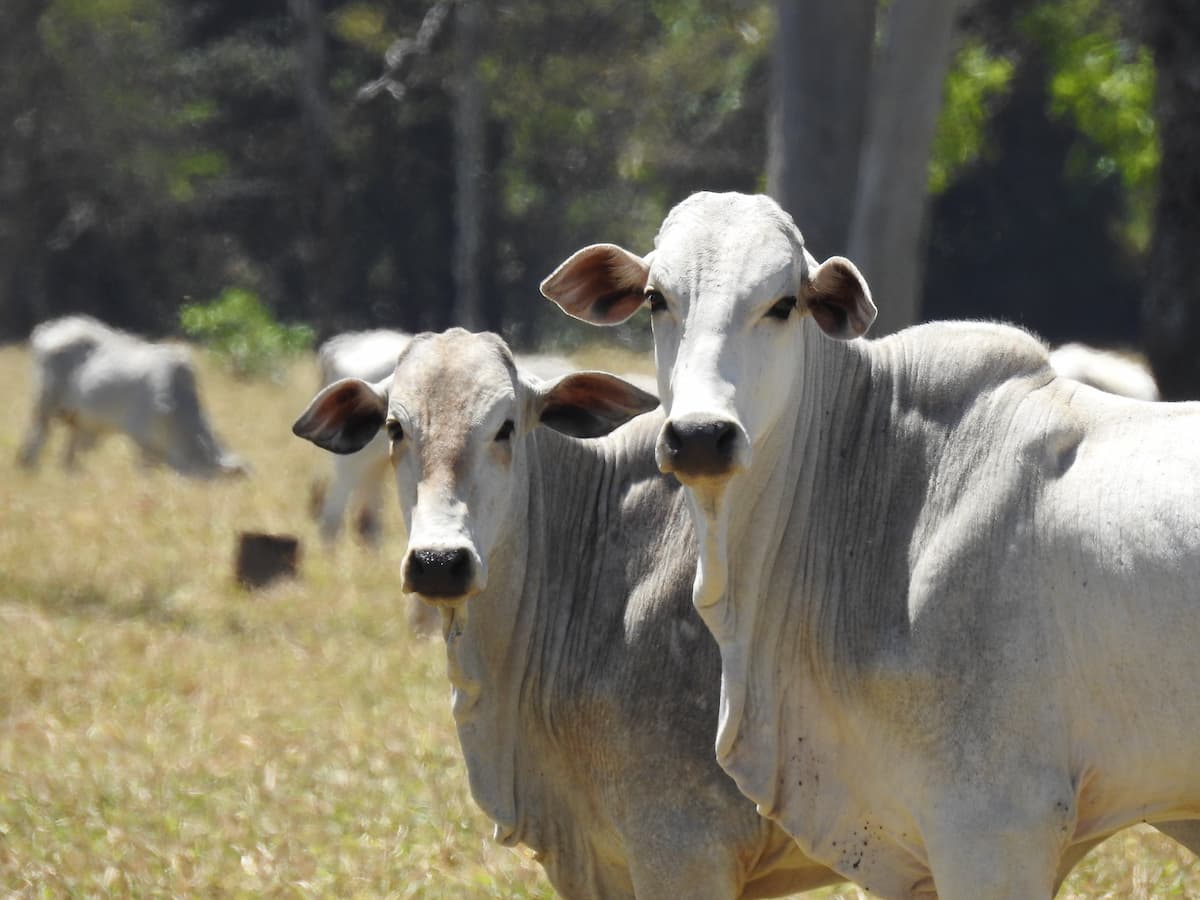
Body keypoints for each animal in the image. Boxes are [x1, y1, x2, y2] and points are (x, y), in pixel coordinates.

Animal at [19, 314, 248, 480]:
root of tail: (47, 330)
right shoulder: (143, 441)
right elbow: (144, 471)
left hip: (79, 422)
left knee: (68, 455)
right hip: (44, 406)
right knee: (35, 440)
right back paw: (29, 470)